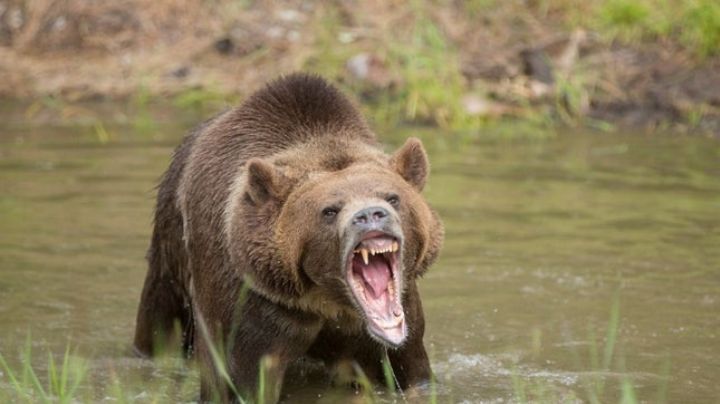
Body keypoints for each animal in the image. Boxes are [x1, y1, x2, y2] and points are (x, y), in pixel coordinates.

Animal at [133, 73, 444, 402]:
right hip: (171, 248)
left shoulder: (397, 319)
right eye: (330, 210)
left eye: (392, 197)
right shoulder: (254, 306)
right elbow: (242, 379)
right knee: (160, 317)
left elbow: (410, 369)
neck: (327, 299)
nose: (370, 214)